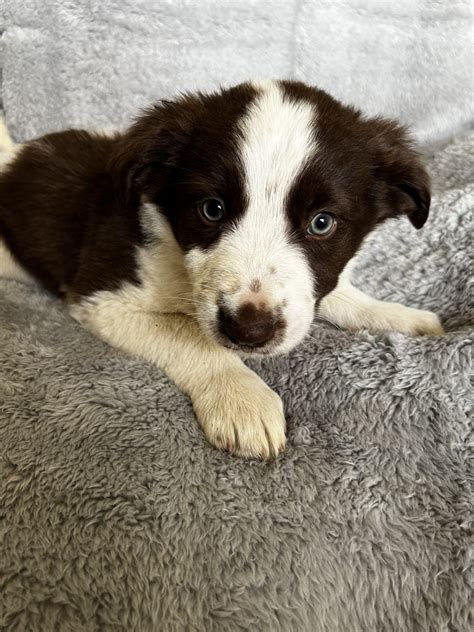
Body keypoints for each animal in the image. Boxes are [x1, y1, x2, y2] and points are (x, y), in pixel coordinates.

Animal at [0, 80, 444, 460]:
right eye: (211, 209)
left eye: (322, 223)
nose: (249, 331)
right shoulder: (103, 296)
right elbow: (190, 334)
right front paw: (242, 398)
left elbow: (338, 295)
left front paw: (395, 315)